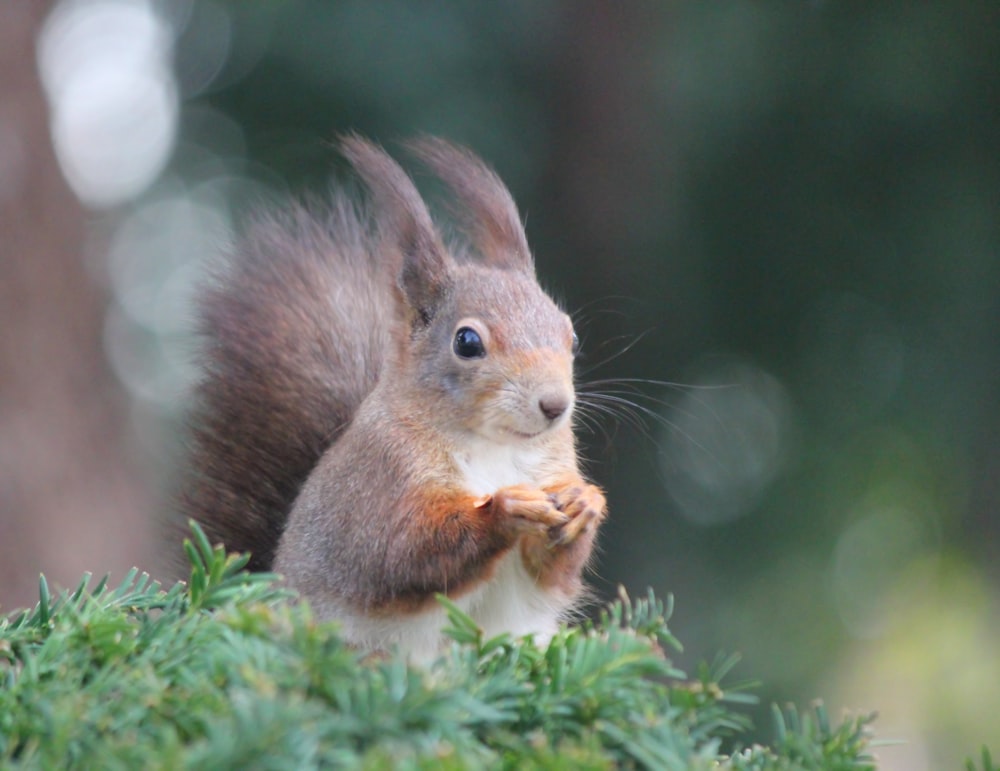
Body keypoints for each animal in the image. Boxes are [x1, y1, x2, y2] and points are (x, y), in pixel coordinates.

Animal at [183, 137, 604, 656]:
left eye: (571, 335)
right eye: (467, 342)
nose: (554, 405)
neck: (497, 448)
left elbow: (550, 576)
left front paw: (585, 502)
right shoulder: (381, 482)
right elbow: (400, 554)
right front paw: (505, 510)